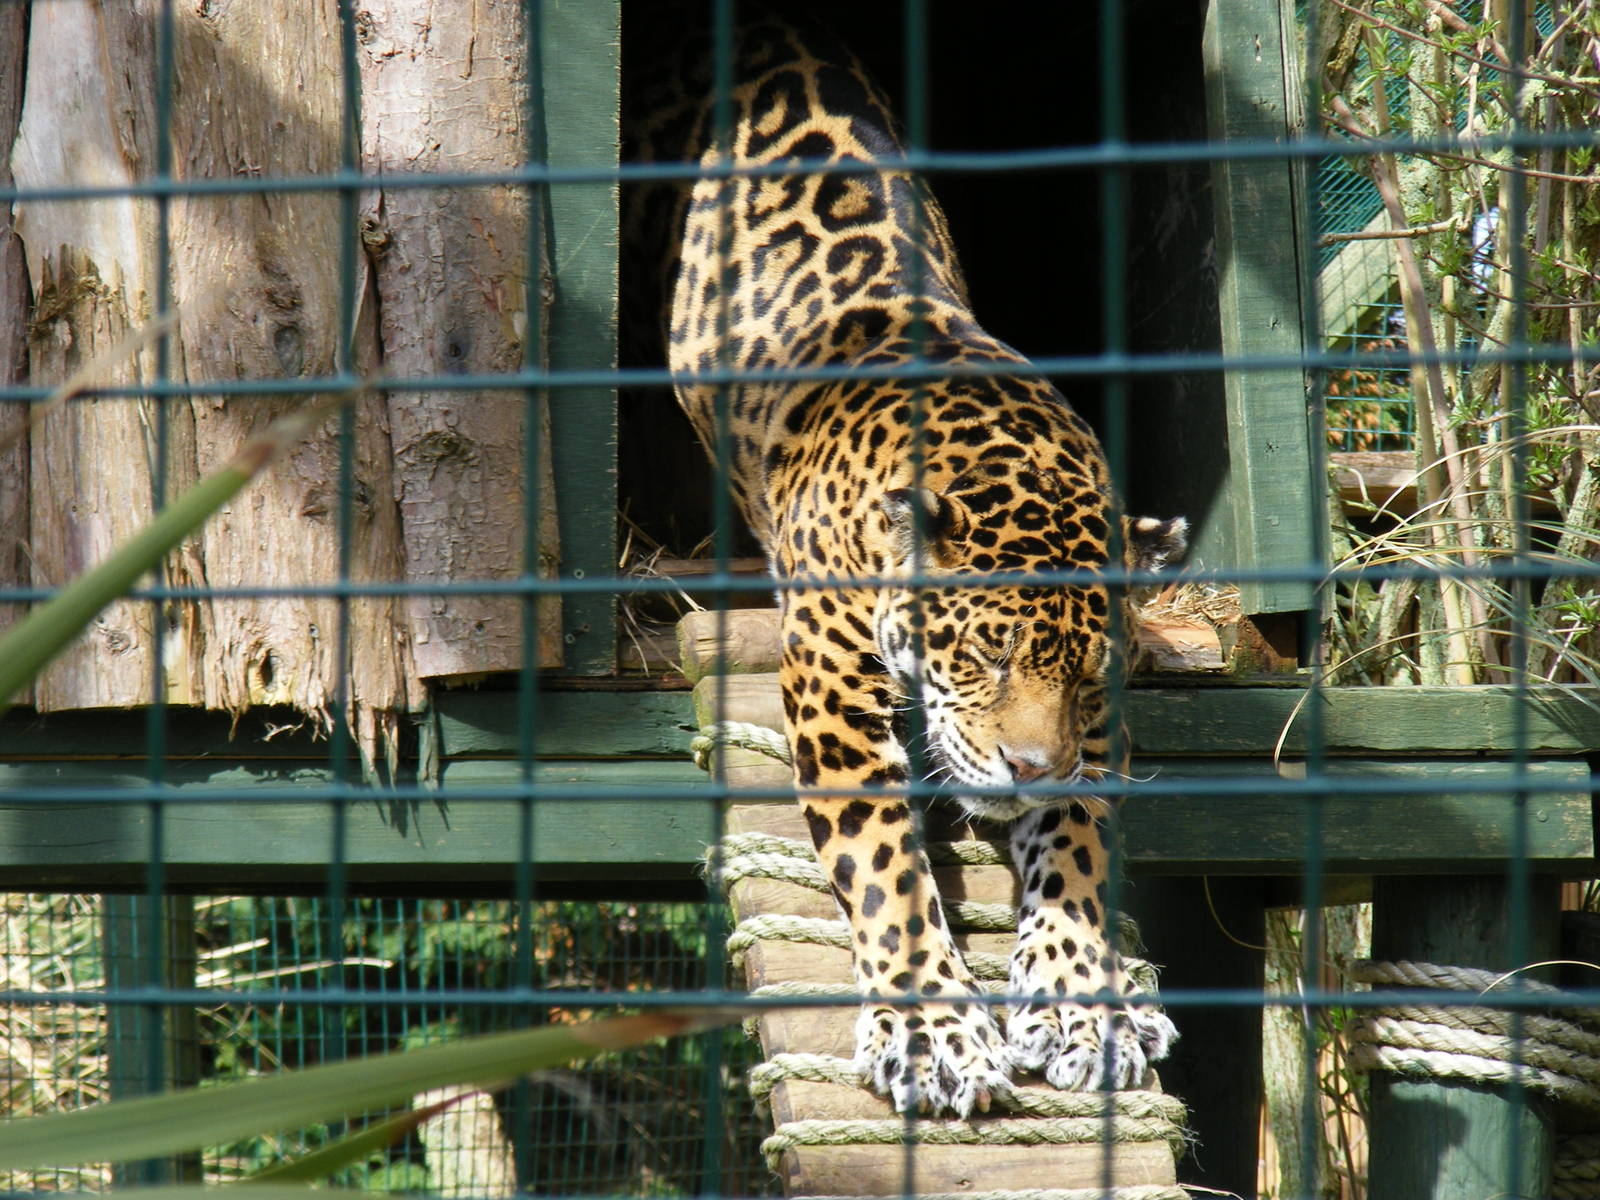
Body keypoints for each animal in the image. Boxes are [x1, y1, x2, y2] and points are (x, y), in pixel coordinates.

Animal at [625, 5, 1185, 1117]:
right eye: (982, 658)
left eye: (1085, 679)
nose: (1025, 766)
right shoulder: (830, 685)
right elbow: (883, 861)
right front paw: (932, 1030)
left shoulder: (1097, 732)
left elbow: (1080, 838)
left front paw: (1078, 1002)